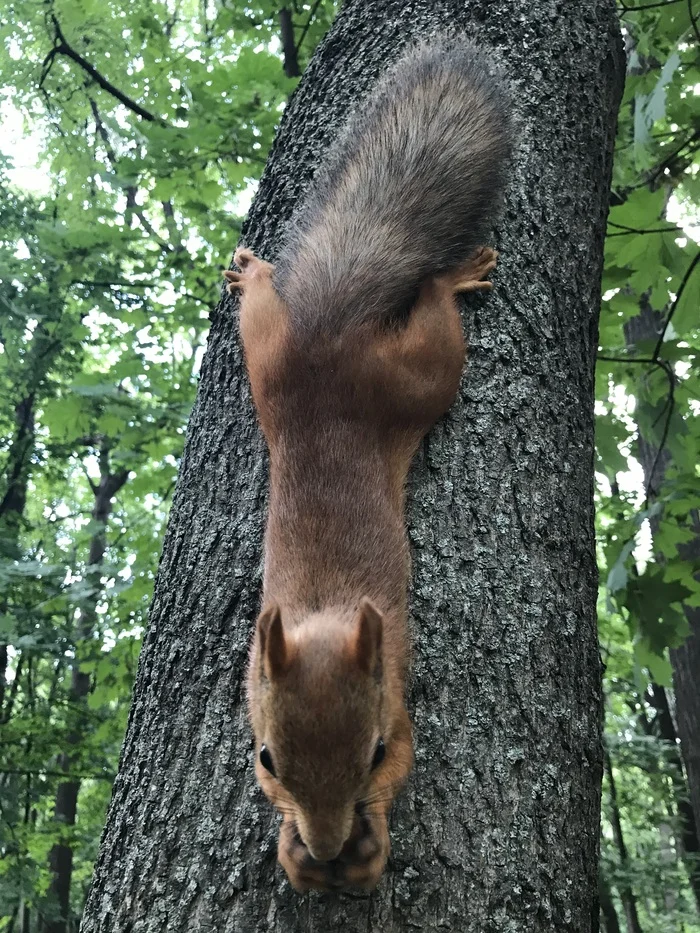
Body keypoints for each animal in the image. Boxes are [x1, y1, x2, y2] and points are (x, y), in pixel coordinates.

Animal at [227, 36, 512, 892]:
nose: (325, 847)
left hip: (417, 375)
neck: (324, 610)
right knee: (264, 309)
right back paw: (255, 273)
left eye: (376, 752)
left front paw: (368, 844)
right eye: (266, 760)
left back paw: (452, 274)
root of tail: (332, 333)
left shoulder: (399, 704)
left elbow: (407, 768)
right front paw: (296, 853)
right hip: (270, 357)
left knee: (437, 314)